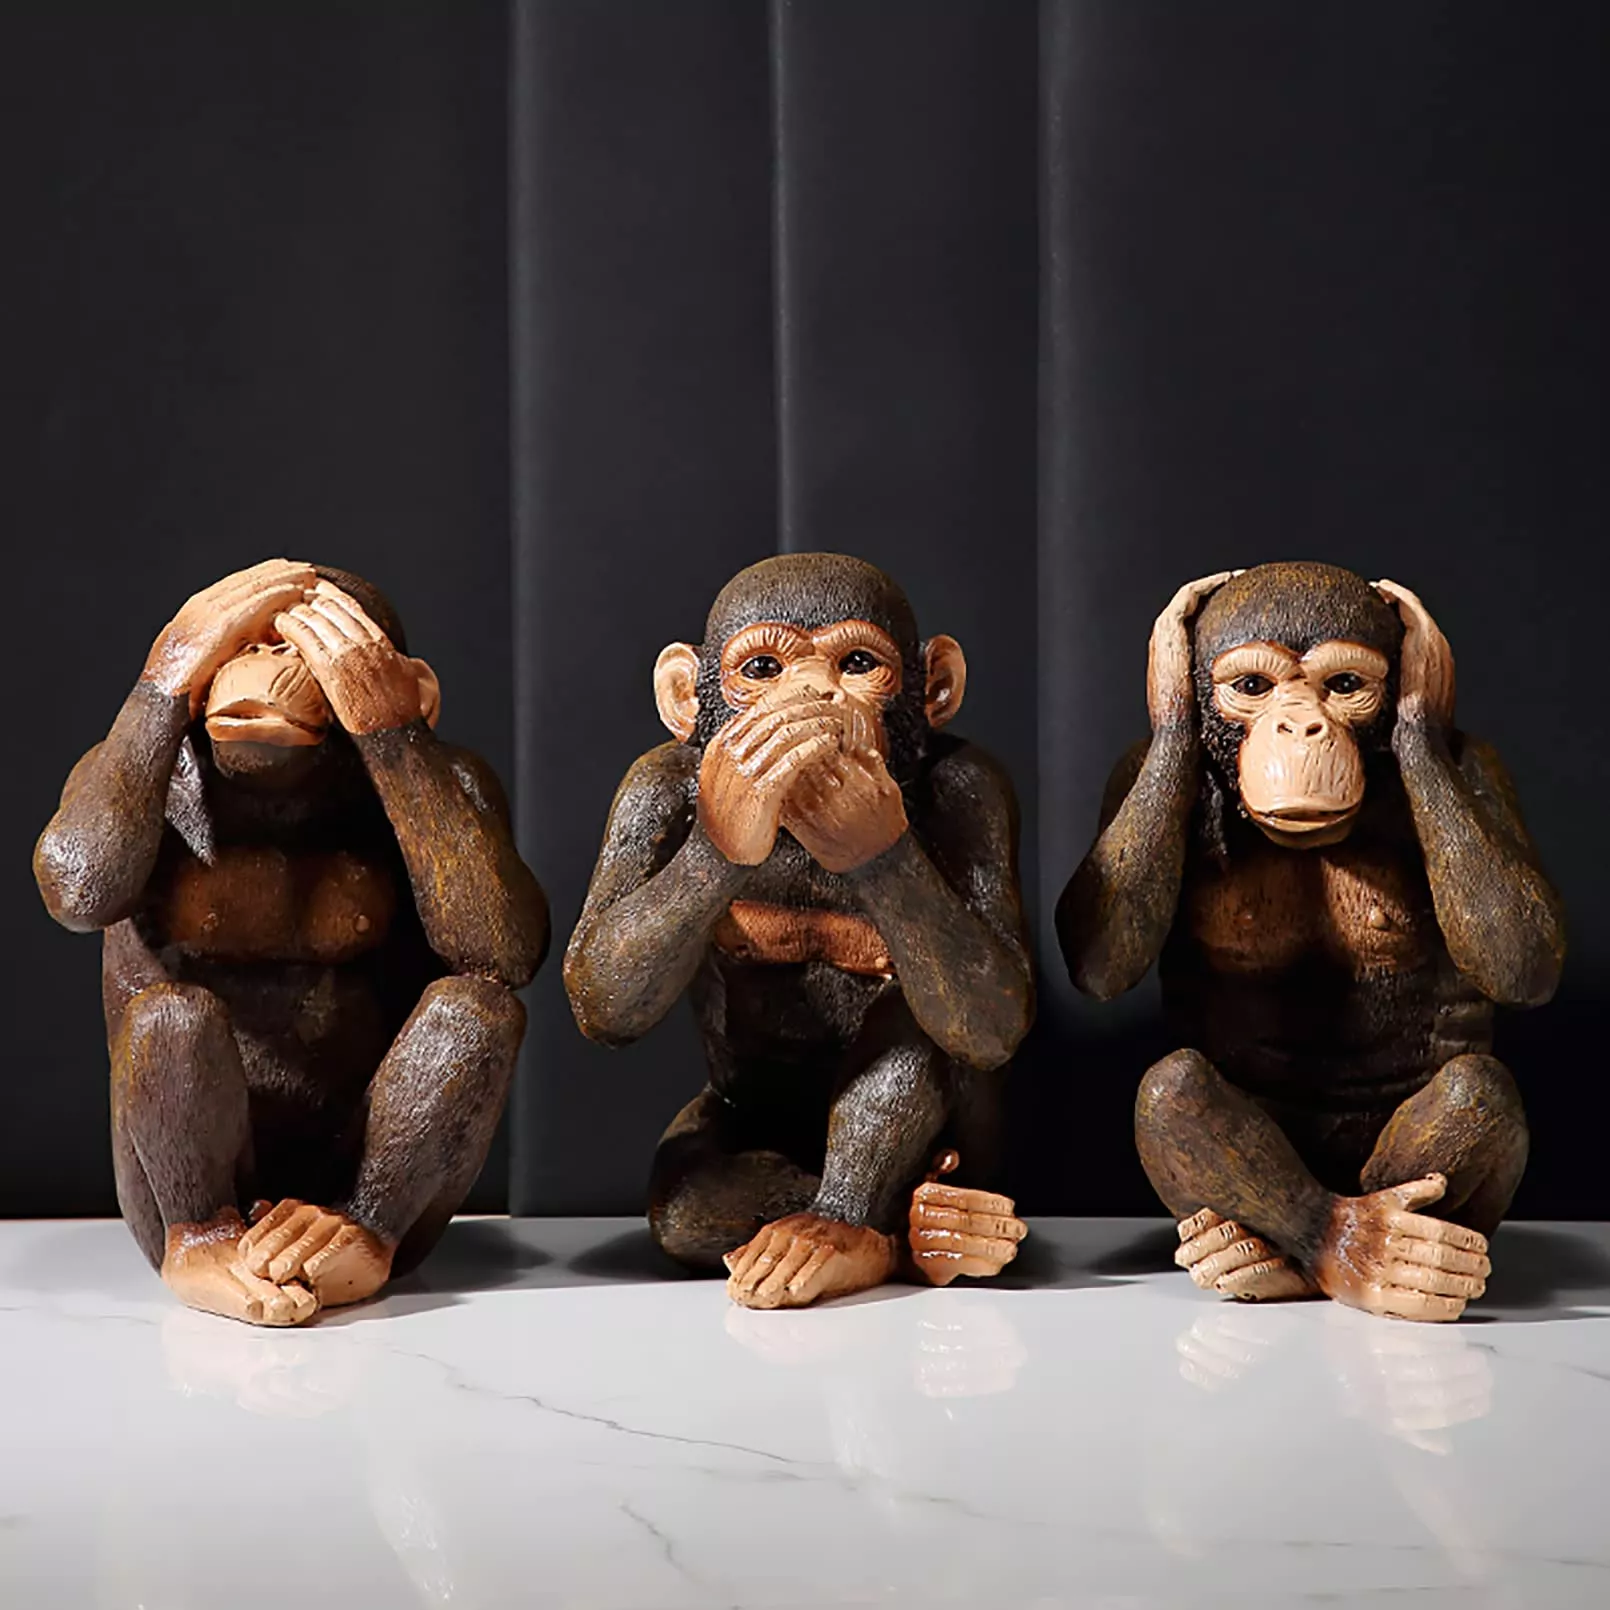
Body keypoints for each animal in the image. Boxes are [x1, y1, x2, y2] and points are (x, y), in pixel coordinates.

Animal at [35, 560, 548, 1326]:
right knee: (170, 1014)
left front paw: (365, 680)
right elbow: (76, 869)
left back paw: (341, 1236)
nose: (262, 653)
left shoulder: (467, 775)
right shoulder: (96, 766)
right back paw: (208, 1246)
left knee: (477, 1004)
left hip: (376, 1212)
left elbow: (506, 933)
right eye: (250, 640)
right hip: (147, 1218)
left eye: (292, 642)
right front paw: (192, 636)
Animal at [564, 553, 1033, 1309]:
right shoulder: (646, 786)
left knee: (927, 1018)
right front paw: (735, 806)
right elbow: (599, 980)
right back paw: (915, 1231)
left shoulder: (978, 787)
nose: (817, 694)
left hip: (983, 1153)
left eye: (858, 663)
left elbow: (998, 1006)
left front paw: (860, 818)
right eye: (763, 670)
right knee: (686, 1203)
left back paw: (861, 1231)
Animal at [1058, 562, 1564, 1322]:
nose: (1302, 723)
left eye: (1345, 685)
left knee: (1477, 1089)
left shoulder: (1480, 768)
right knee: (1172, 1086)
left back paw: (1382, 1256)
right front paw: (1168, 675)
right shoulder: (1131, 770)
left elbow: (1527, 946)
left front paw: (1425, 686)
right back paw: (1290, 1251)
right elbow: (1096, 948)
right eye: (1253, 688)